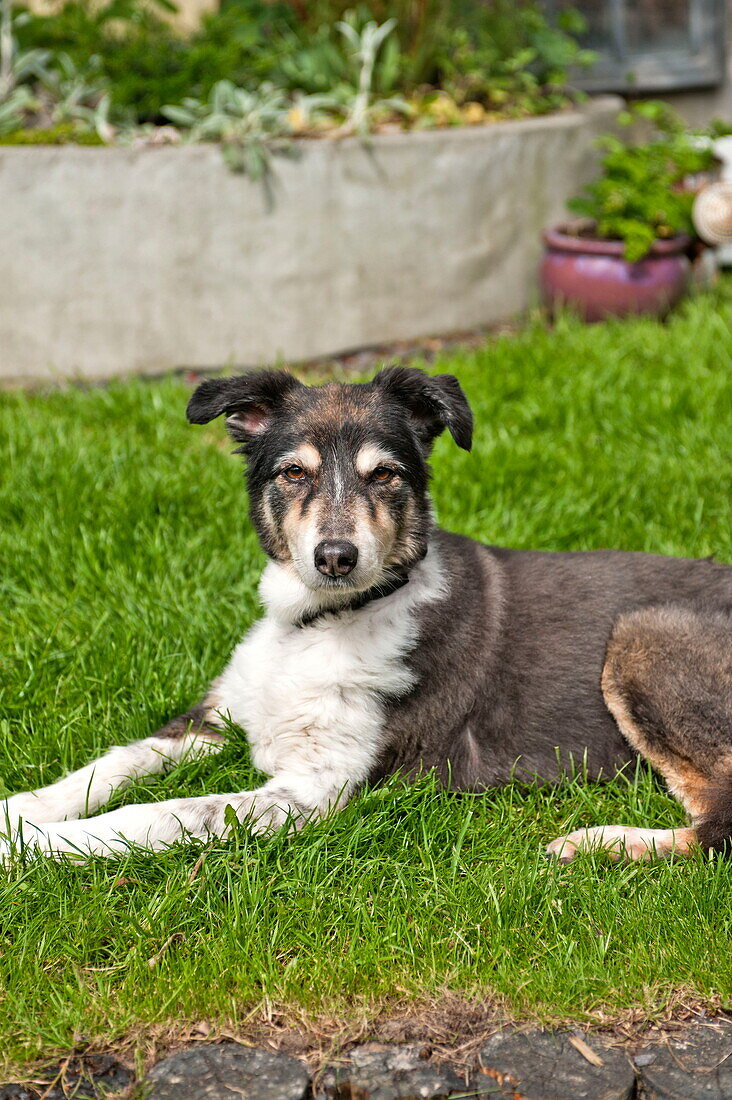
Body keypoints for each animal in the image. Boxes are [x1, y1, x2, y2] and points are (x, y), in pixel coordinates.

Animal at [2, 369, 726, 858]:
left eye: (385, 475)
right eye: (293, 473)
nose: (335, 557)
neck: (317, 623)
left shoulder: (316, 789)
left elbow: (161, 814)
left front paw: (34, 847)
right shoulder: (216, 717)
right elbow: (112, 764)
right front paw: (20, 811)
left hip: (643, 633)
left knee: (721, 826)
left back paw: (599, 844)